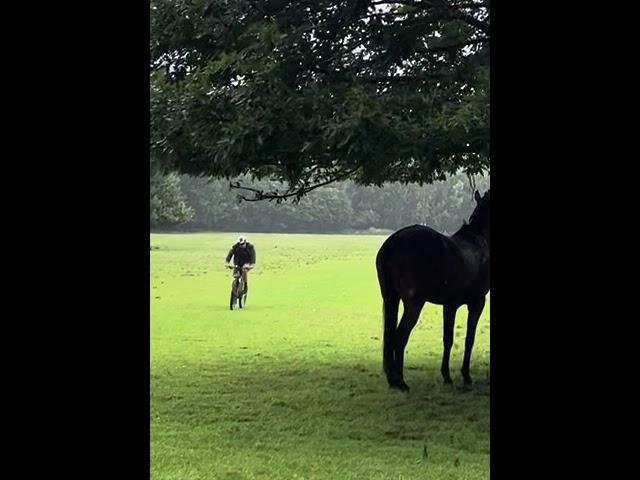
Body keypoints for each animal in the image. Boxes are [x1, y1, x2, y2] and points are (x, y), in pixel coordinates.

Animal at [376, 189, 490, 392]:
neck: (478, 242)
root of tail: (393, 242)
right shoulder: (477, 303)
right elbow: (469, 339)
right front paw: (465, 376)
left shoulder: (450, 305)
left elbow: (448, 339)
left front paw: (447, 376)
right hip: (414, 303)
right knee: (400, 336)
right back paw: (401, 381)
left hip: (391, 298)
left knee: (390, 338)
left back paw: (393, 380)